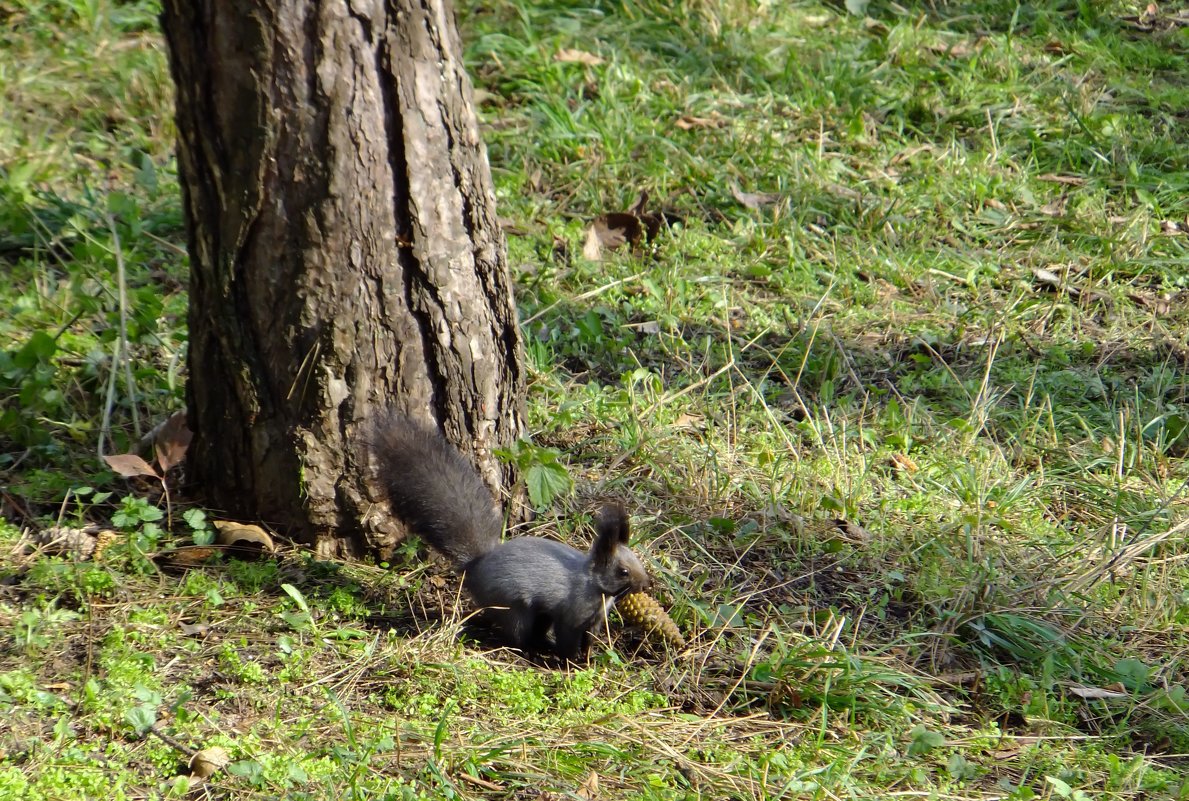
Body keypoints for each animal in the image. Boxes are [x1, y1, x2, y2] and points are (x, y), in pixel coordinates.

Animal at [370, 411, 651, 656]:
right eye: (623, 571)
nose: (645, 584)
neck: (594, 586)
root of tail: (476, 566)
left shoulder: (593, 621)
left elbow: (589, 639)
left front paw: (589, 657)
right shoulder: (571, 615)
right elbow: (568, 638)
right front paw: (570, 661)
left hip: (536, 613)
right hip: (513, 606)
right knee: (516, 633)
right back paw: (531, 650)